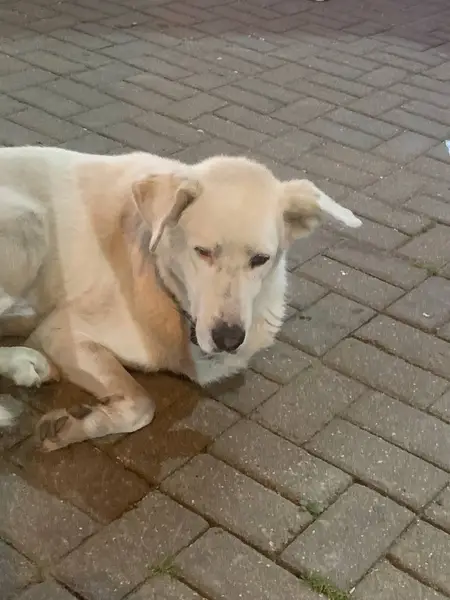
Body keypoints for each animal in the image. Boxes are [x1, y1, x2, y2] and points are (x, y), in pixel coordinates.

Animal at [0, 146, 361, 451]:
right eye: (202, 252)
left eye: (260, 259)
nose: (228, 339)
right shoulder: (62, 332)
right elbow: (143, 404)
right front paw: (73, 426)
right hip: (29, 226)